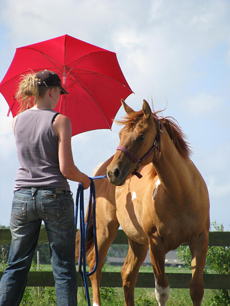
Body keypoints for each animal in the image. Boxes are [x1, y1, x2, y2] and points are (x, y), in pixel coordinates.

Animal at [76, 99, 210, 304]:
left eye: (140, 136)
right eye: (121, 135)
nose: (113, 172)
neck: (180, 195)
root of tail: (98, 173)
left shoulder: (200, 240)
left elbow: (196, 289)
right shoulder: (156, 244)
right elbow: (162, 290)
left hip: (136, 241)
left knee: (127, 274)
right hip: (105, 231)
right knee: (94, 266)